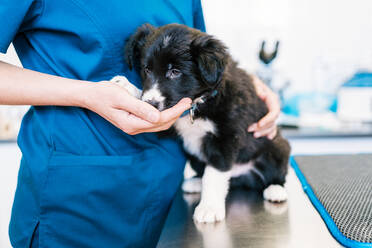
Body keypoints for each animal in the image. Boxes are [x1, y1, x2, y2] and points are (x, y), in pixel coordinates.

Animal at [122, 23, 290, 223]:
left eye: (175, 72)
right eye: (147, 69)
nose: (151, 104)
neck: (199, 103)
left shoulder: (225, 138)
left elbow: (214, 175)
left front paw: (209, 208)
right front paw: (127, 87)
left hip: (276, 147)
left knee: (277, 174)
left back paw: (276, 190)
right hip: (195, 157)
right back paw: (195, 182)